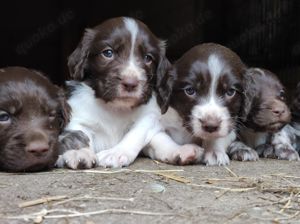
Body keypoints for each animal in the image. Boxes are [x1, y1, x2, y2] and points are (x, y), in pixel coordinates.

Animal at [55, 16, 169, 169]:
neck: (115, 107)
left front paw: (116, 153)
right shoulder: (76, 114)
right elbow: (78, 133)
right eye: (108, 53)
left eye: (148, 58)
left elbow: (136, 132)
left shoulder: (150, 115)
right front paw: (79, 152)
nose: (130, 83)